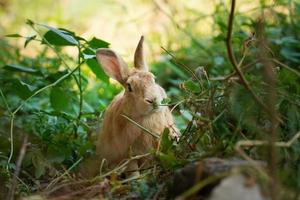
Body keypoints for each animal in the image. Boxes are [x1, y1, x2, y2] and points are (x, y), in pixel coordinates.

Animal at [81, 36, 178, 177]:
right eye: (129, 87)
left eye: (153, 79)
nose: (152, 100)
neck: (145, 117)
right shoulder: (128, 155)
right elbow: (133, 170)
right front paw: (137, 180)